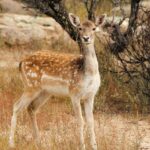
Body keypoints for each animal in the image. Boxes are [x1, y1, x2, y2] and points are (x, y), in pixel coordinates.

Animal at [8, 13, 105, 149]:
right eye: (80, 28)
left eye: (94, 28)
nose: (86, 38)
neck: (88, 73)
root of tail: (21, 63)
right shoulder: (74, 93)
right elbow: (80, 120)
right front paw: (82, 146)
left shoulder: (90, 95)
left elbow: (91, 121)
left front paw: (95, 146)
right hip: (30, 85)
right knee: (16, 106)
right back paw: (11, 143)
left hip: (45, 92)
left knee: (31, 107)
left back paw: (38, 142)